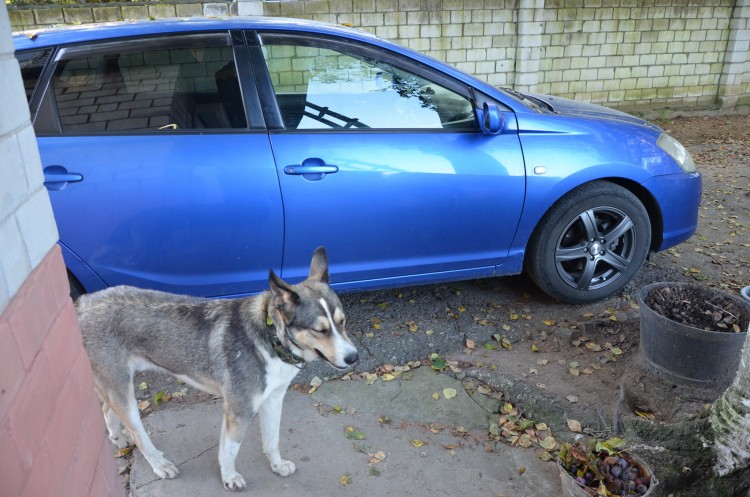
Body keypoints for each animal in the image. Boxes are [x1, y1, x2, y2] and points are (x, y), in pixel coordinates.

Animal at [78, 247, 360, 488]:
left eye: (343, 321)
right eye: (320, 330)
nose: (353, 357)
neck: (270, 338)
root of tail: (83, 303)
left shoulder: (274, 399)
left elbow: (272, 440)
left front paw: (277, 466)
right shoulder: (239, 411)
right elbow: (230, 450)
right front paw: (229, 478)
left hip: (112, 383)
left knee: (106, 408)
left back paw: (118, 439)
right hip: (123, 392)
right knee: (136, 430)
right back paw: (159, 464)